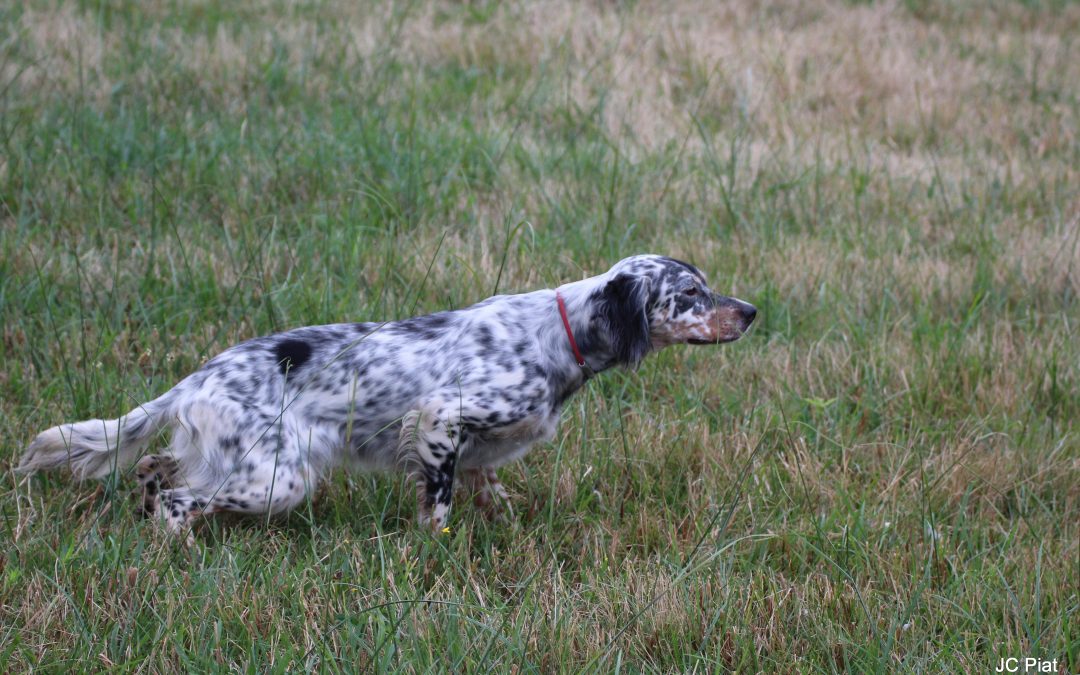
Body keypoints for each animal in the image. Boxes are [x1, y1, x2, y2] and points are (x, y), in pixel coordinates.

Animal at [19, 253, 760, 537]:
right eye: (691, 295)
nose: (752, 311)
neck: (559, 333)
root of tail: (196, 378)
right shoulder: (440, 419)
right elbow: (439, 505)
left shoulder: (480, 451)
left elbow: (488, 492)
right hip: (277, 477)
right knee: (179, 499)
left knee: (154, 465)